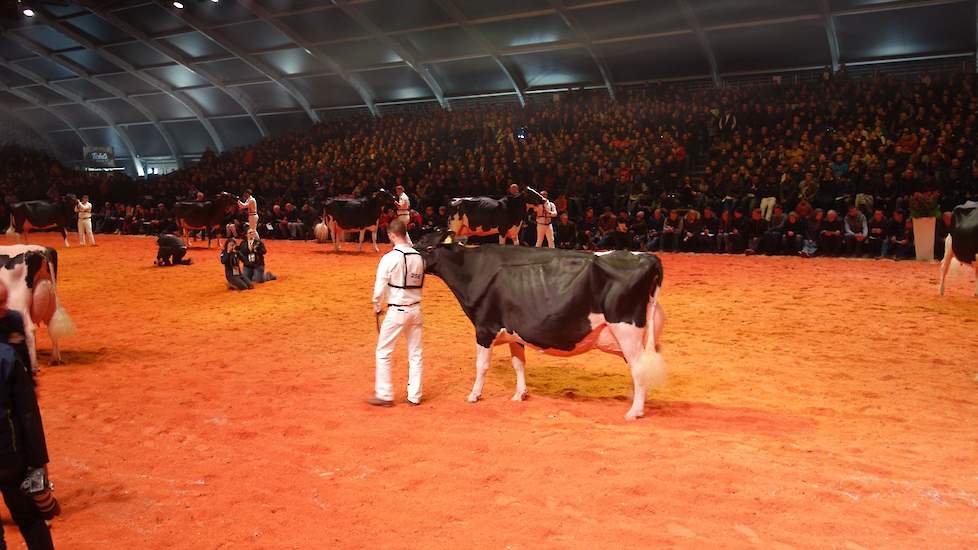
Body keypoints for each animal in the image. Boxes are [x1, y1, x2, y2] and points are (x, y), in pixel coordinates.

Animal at [416, 231, 668, 420]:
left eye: (427, 247)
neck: (472, 269)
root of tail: (647, 258)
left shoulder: (484, 328)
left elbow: (481, 366)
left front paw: (474, 395)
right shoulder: (514, 331)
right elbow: (518, 363)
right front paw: (520, 394)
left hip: (626, 329)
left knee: (638, 367)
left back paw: (634, 411)